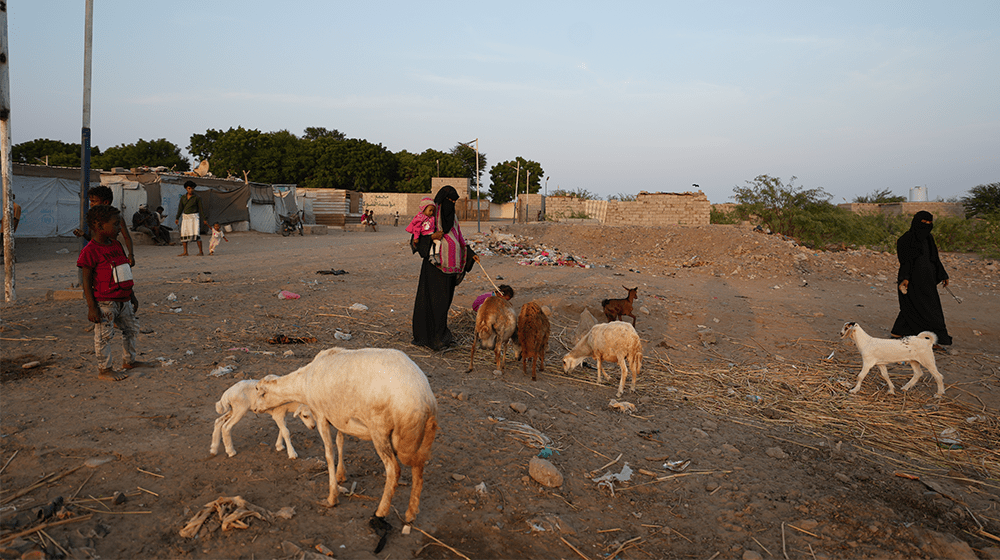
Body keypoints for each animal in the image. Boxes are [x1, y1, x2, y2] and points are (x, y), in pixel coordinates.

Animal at [250, 346, 438, 524]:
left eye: (260, 392)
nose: (254, 409)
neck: (304, 382)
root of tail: (423, 397)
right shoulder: (339, 416)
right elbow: (340, 441)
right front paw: (341, 475)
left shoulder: (321, 415)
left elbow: (329, 454)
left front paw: (332, 497)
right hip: (423, 435)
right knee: (418, 469)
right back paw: (411, 513)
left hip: (380, 429)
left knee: (394, 469)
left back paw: (381, 511)